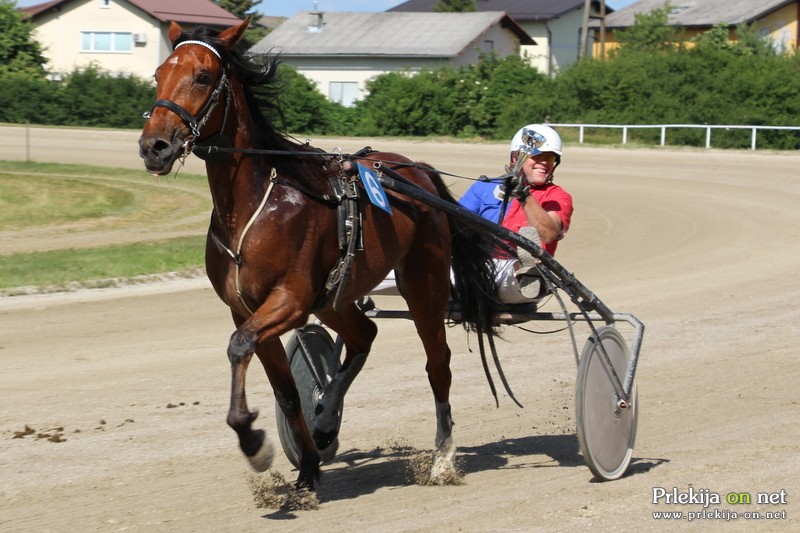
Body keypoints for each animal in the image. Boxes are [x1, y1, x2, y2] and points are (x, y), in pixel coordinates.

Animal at [138, 18, 500, 488]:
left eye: (202, 76)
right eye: (158, 73)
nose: (154, 146)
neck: (251, 205)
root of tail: (416, 170)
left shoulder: (289, 300)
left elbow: (238, 346)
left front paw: (252, 441)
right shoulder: (246, 308)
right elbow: (286, 391)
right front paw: (308, 464)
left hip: (425, 283)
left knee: (438, 363)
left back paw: (442, 457)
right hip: (335, 297)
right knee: (364, 334)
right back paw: (326, 417)